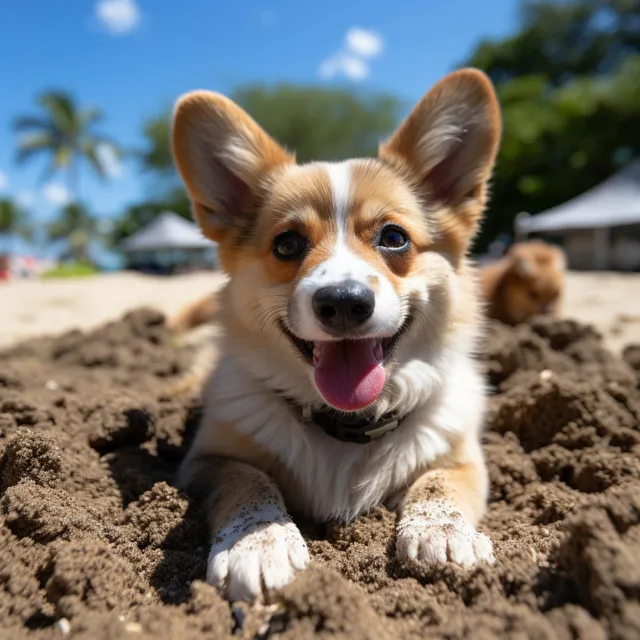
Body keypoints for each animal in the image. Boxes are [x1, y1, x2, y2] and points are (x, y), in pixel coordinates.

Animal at [174, 67, 500, 604]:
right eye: (287, 244)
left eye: (394, 238)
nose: (344, 302)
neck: (347, 427)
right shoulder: (208, 462)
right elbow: (249, 482)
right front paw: (259, 544)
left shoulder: (462, 459)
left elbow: (438, 483)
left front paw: (443, 532)